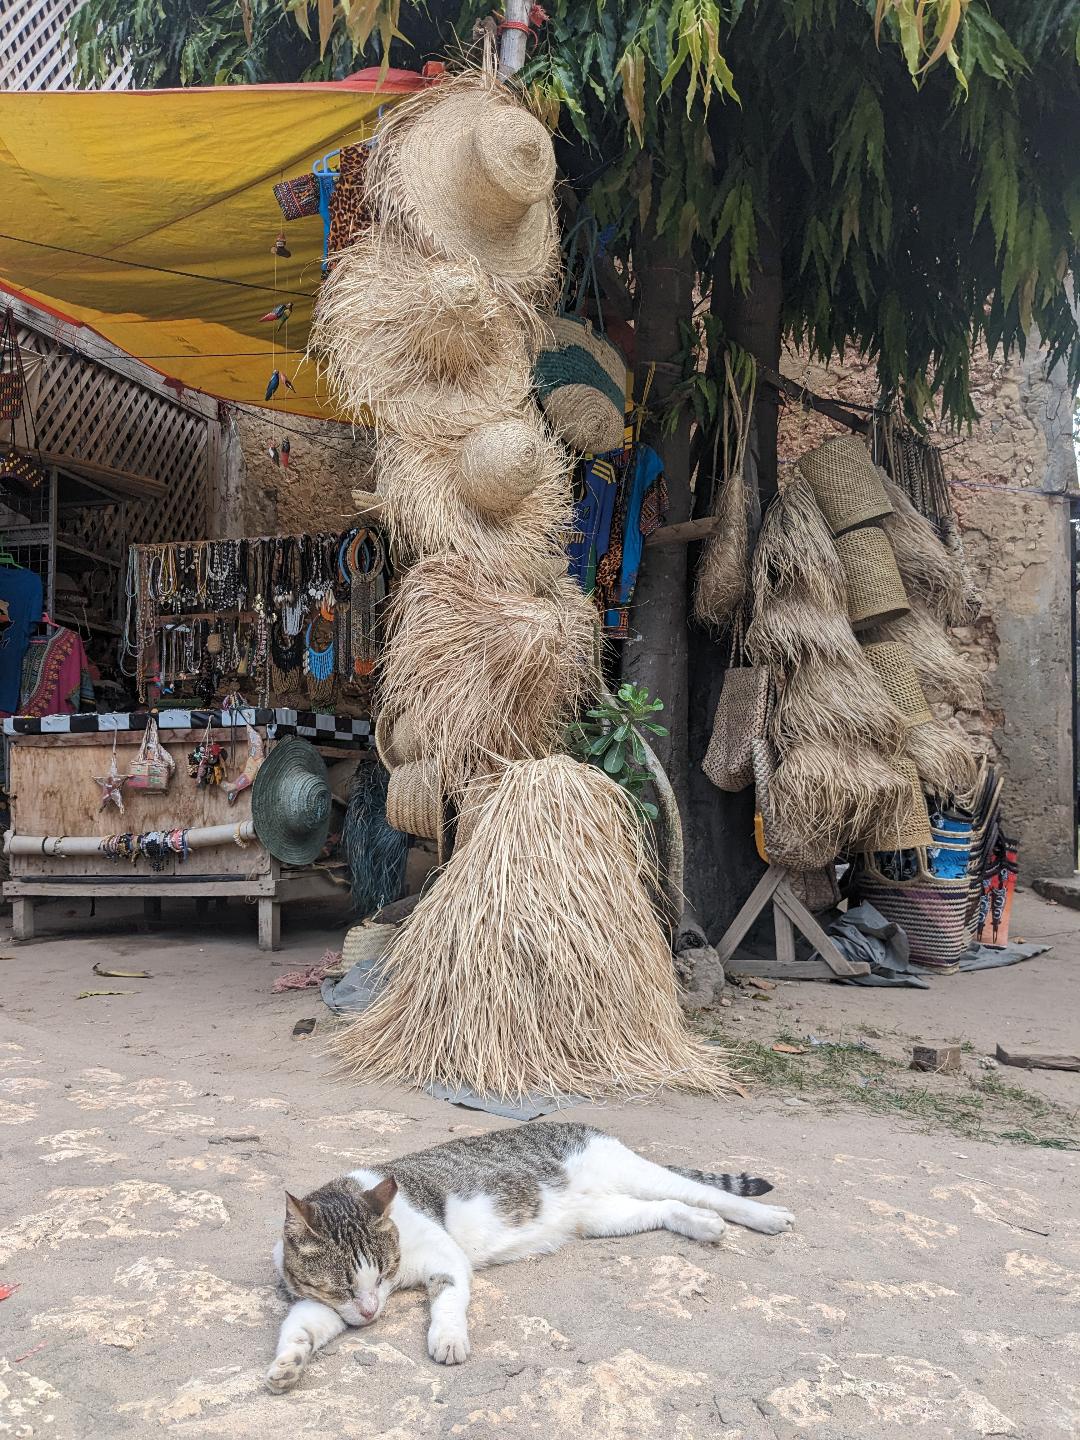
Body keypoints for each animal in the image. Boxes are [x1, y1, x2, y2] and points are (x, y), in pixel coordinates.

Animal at [269, 1117, 794, 1388]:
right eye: (345, 1287)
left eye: (382, 1274)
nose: (371, 1311)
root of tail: (579, 1123)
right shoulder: (319, 1304)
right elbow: (299, 1330)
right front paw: (286, 1367)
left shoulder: (447, 1260)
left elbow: (448, 1301)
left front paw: (448, 1339)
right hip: (604, 1215)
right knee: (668, 1208)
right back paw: (704, 1227)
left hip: (635, 1175)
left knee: (702, 1193)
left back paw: (766, 1217)